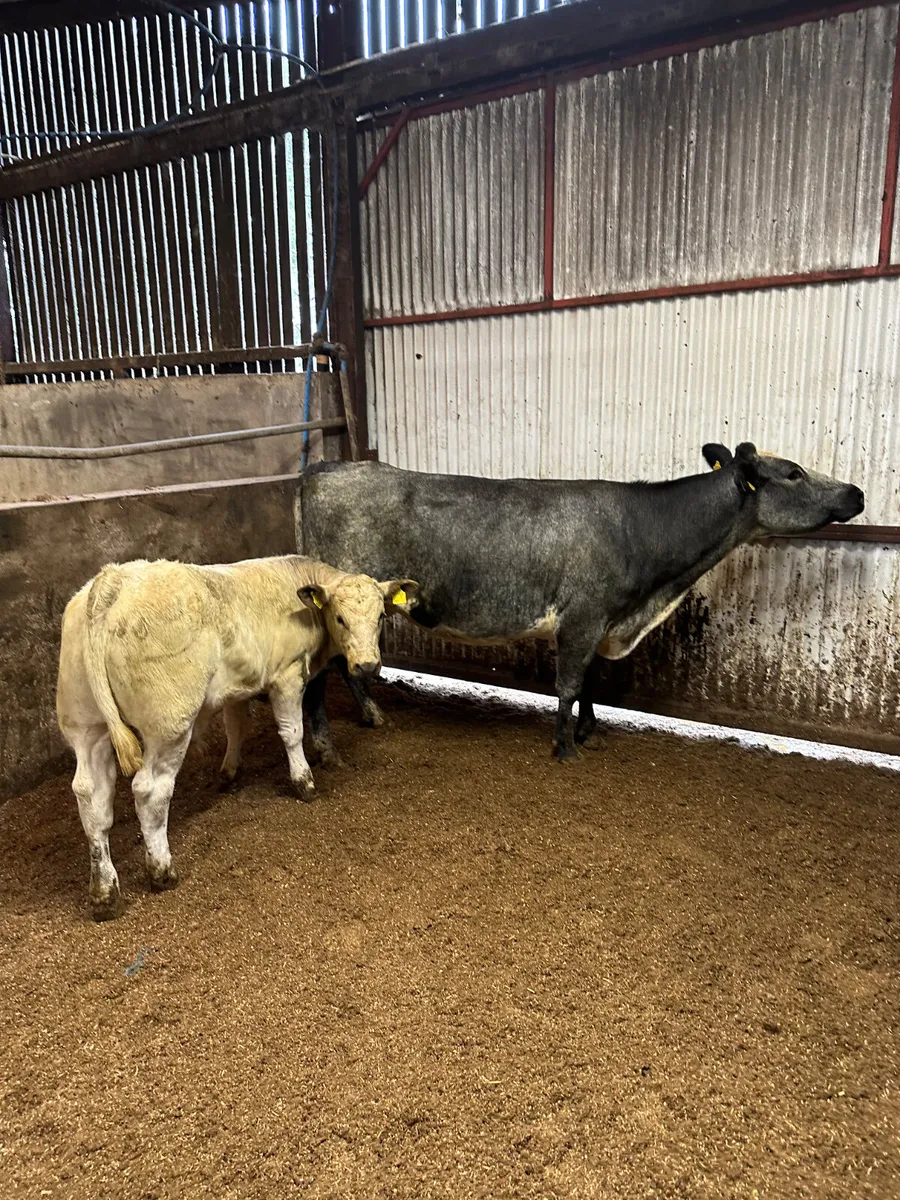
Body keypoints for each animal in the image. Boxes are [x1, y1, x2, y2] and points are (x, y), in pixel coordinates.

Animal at [56, 555, 418, 920]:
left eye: (381, 616)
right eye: (341, 618)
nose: (368, 665)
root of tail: (114, 579)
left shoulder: (236, 687)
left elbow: (235, 727)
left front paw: (230, 773)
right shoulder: (287, 675)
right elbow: (292, 732)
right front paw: (304, 782)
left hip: (85, 726)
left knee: (91, 797)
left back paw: (104, 893)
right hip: (169, 724)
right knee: (150, 791)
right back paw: (162, 871)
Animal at [296, 443, 864, 762]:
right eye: (794, 472)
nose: (857, 492)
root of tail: (325, 468)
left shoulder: (600, 619)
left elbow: (591, 679)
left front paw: (590, 732)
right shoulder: (583, 616)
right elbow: (569, 683)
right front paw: (565, 746)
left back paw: (371, 715)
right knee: (326, 671)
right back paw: (335, 739)